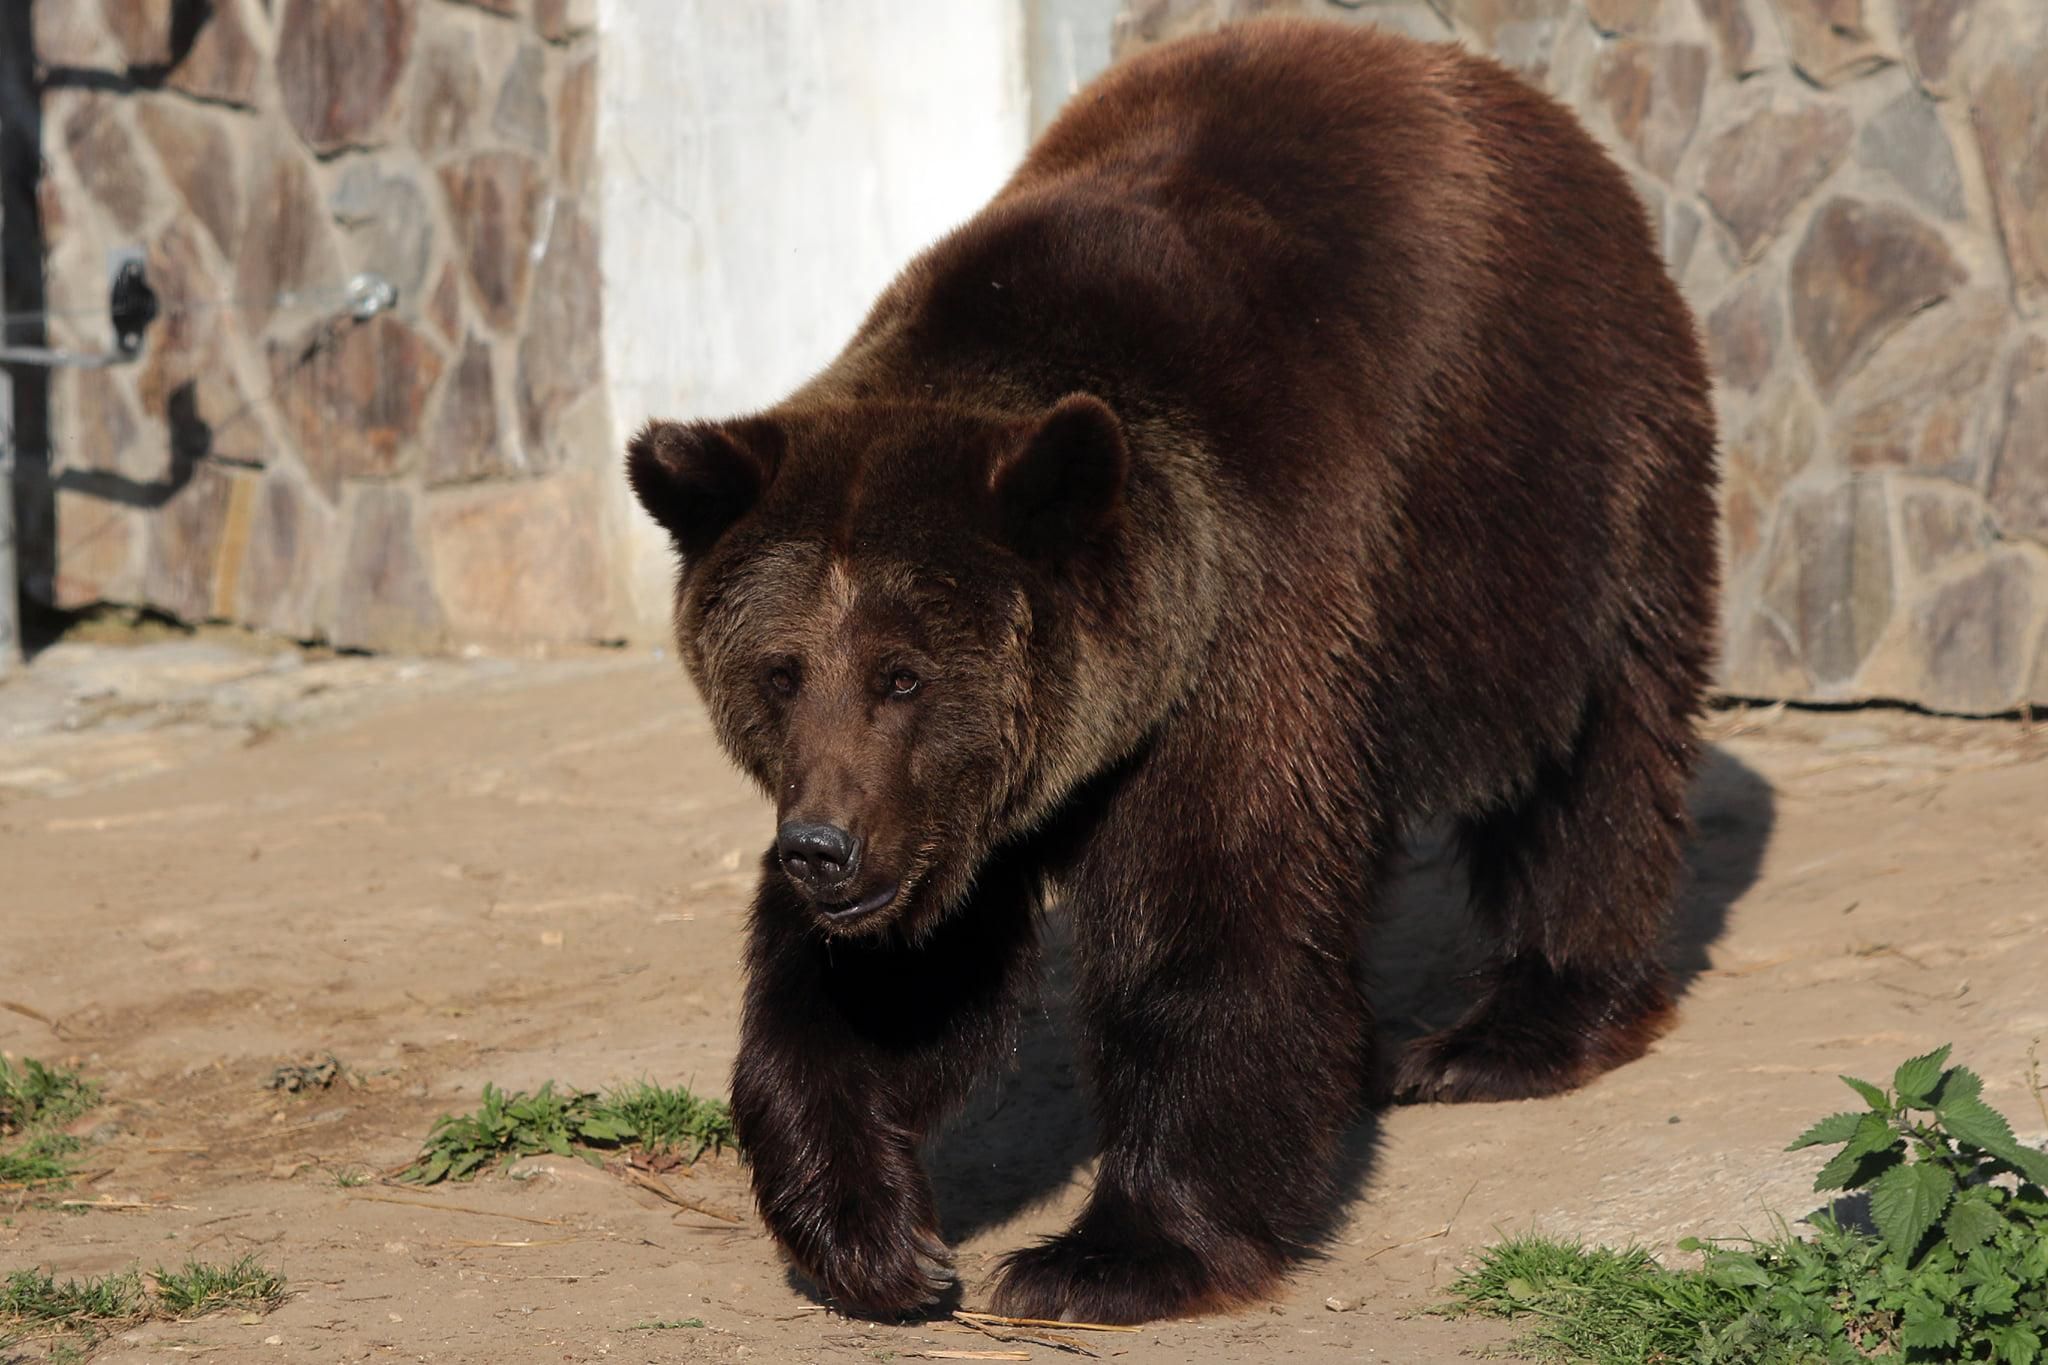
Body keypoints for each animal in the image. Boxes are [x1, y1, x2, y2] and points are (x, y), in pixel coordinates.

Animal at [622, 15, 1712, 1326]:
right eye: (779, 672)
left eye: (902, 675)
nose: (820, 850)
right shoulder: (960, 809)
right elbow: (891, 986)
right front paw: (878, 1240)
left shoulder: (1245, 619)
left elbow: (1212, 915)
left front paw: (1106, 1256)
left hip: (1555, 478)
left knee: (1589, 745)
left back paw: (1509, 1031)